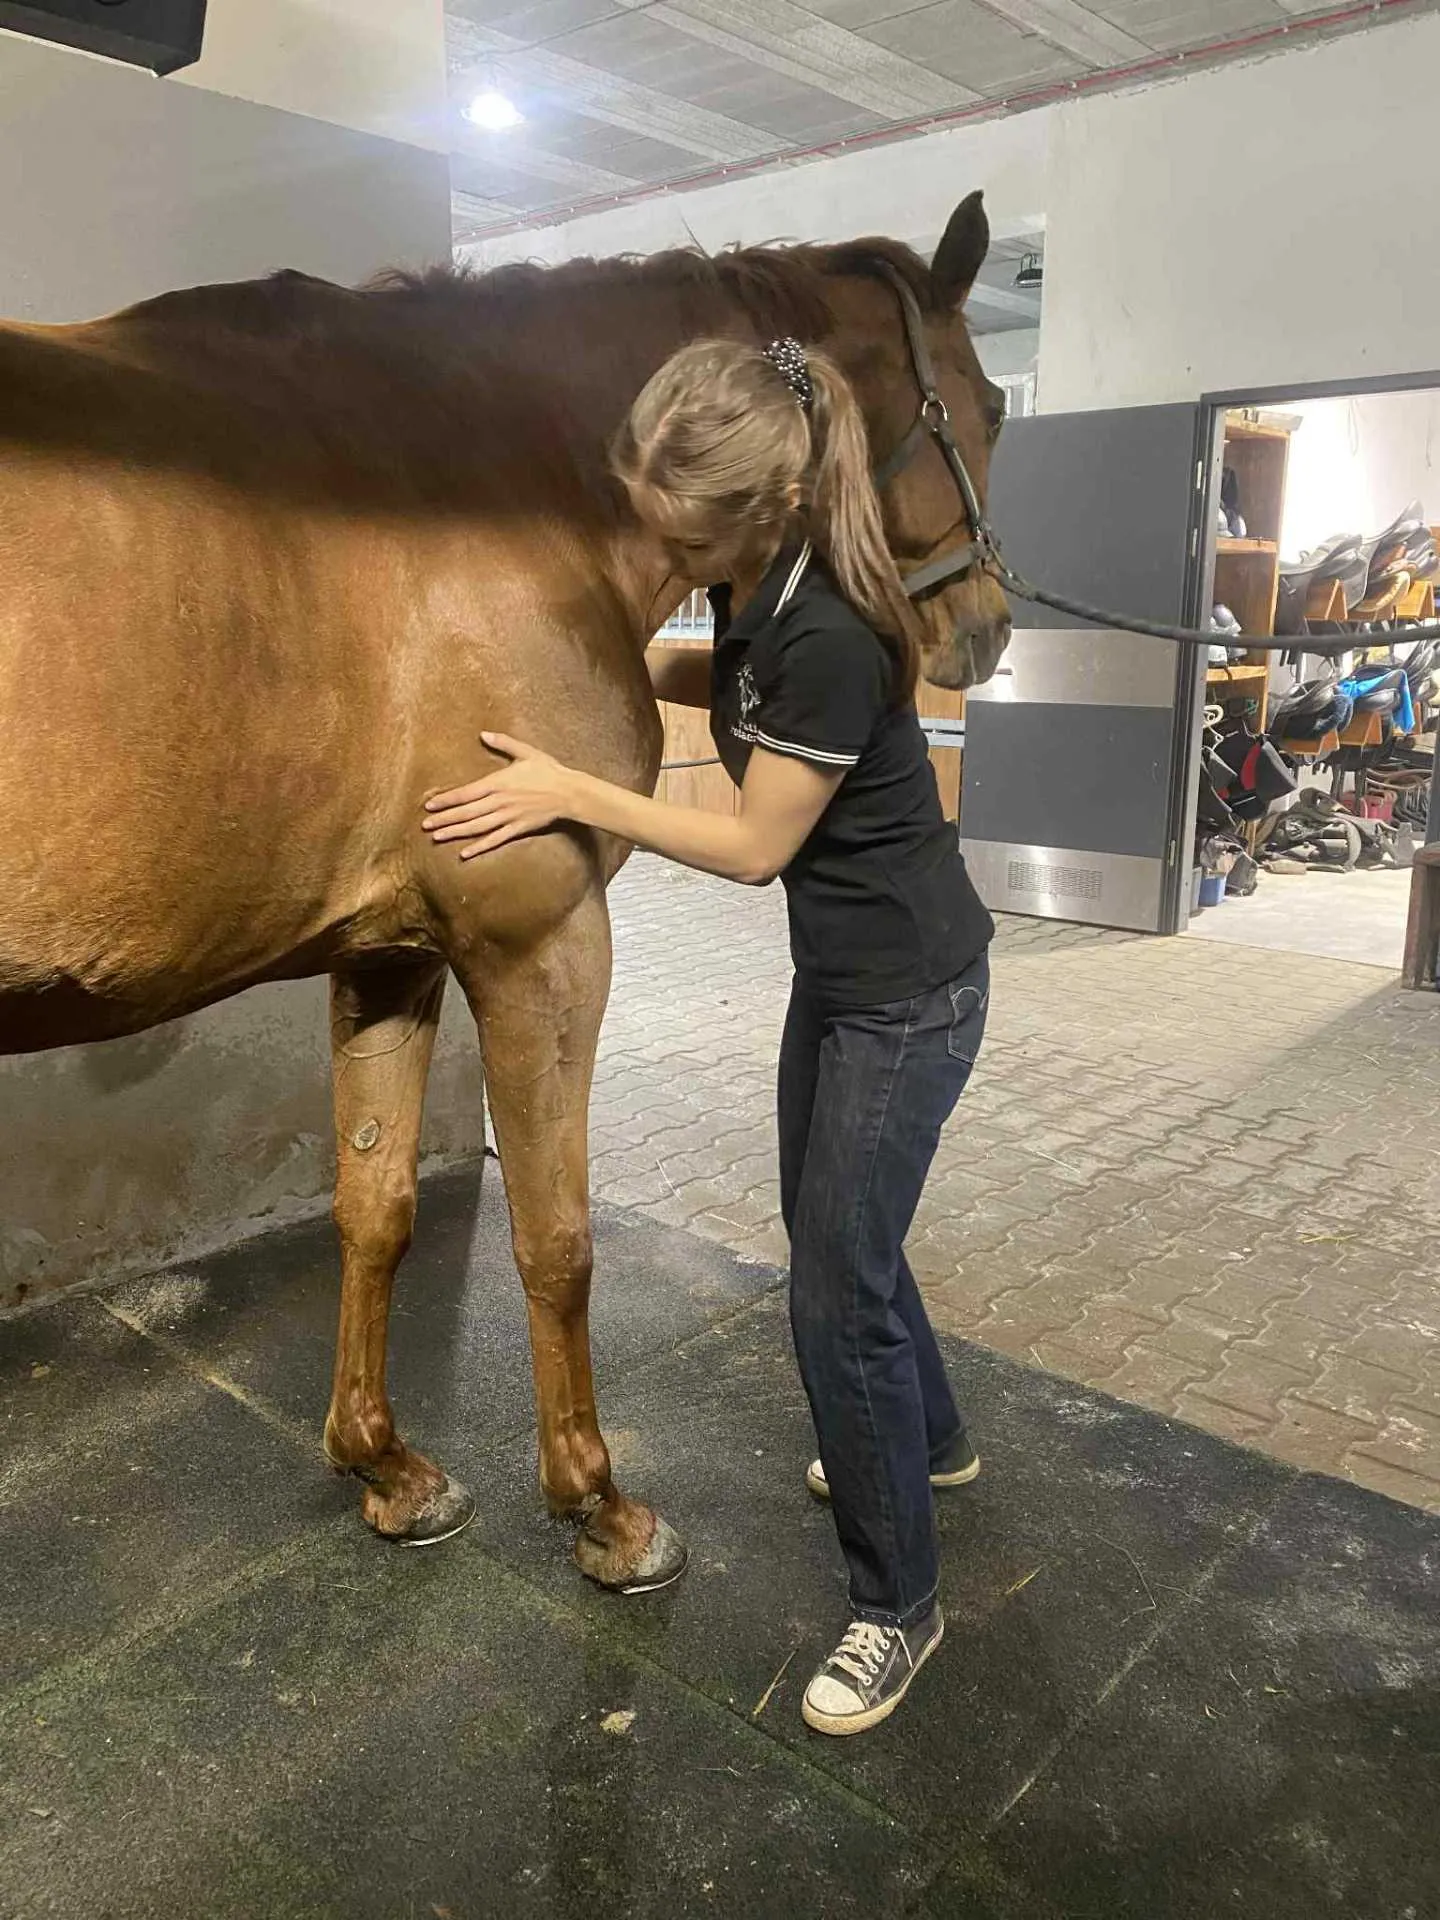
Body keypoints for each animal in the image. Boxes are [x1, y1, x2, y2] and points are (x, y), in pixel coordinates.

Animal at [0, 188, 1012, 1593]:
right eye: (991, 405)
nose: (987, 628)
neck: (495, 481)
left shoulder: (388, 956)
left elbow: (374, 1209)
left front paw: (386, 1468)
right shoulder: (540, 942)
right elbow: (556, 1236)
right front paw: (603, 1510)